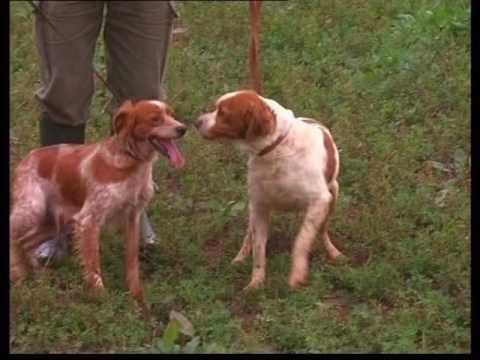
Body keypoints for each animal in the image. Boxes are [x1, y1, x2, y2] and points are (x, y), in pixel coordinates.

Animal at [9, 98, 186, 304]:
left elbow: (132, 262)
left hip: (50, 222)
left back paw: (37, 277)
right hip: (31, 210)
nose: (183, 128)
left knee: (25, 243)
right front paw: (102, 298)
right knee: (16, 239)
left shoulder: (132, 218)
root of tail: (25, 160)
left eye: (172, 115)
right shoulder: (88, 220)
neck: (130, 161)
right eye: (155, 119)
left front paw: (137, 297)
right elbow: (93, 266)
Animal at [195, 90, 344, 290]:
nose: (197, 121)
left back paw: (333, 252)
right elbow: (258, 249)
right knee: (248, 236)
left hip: (333, 196)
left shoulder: (319, 200)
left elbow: (301, 241)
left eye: (223, 113)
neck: (277, 149)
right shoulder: (259, 205)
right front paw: (256, 283)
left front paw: (297, 273)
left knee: (323, 230)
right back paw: (239, 258)